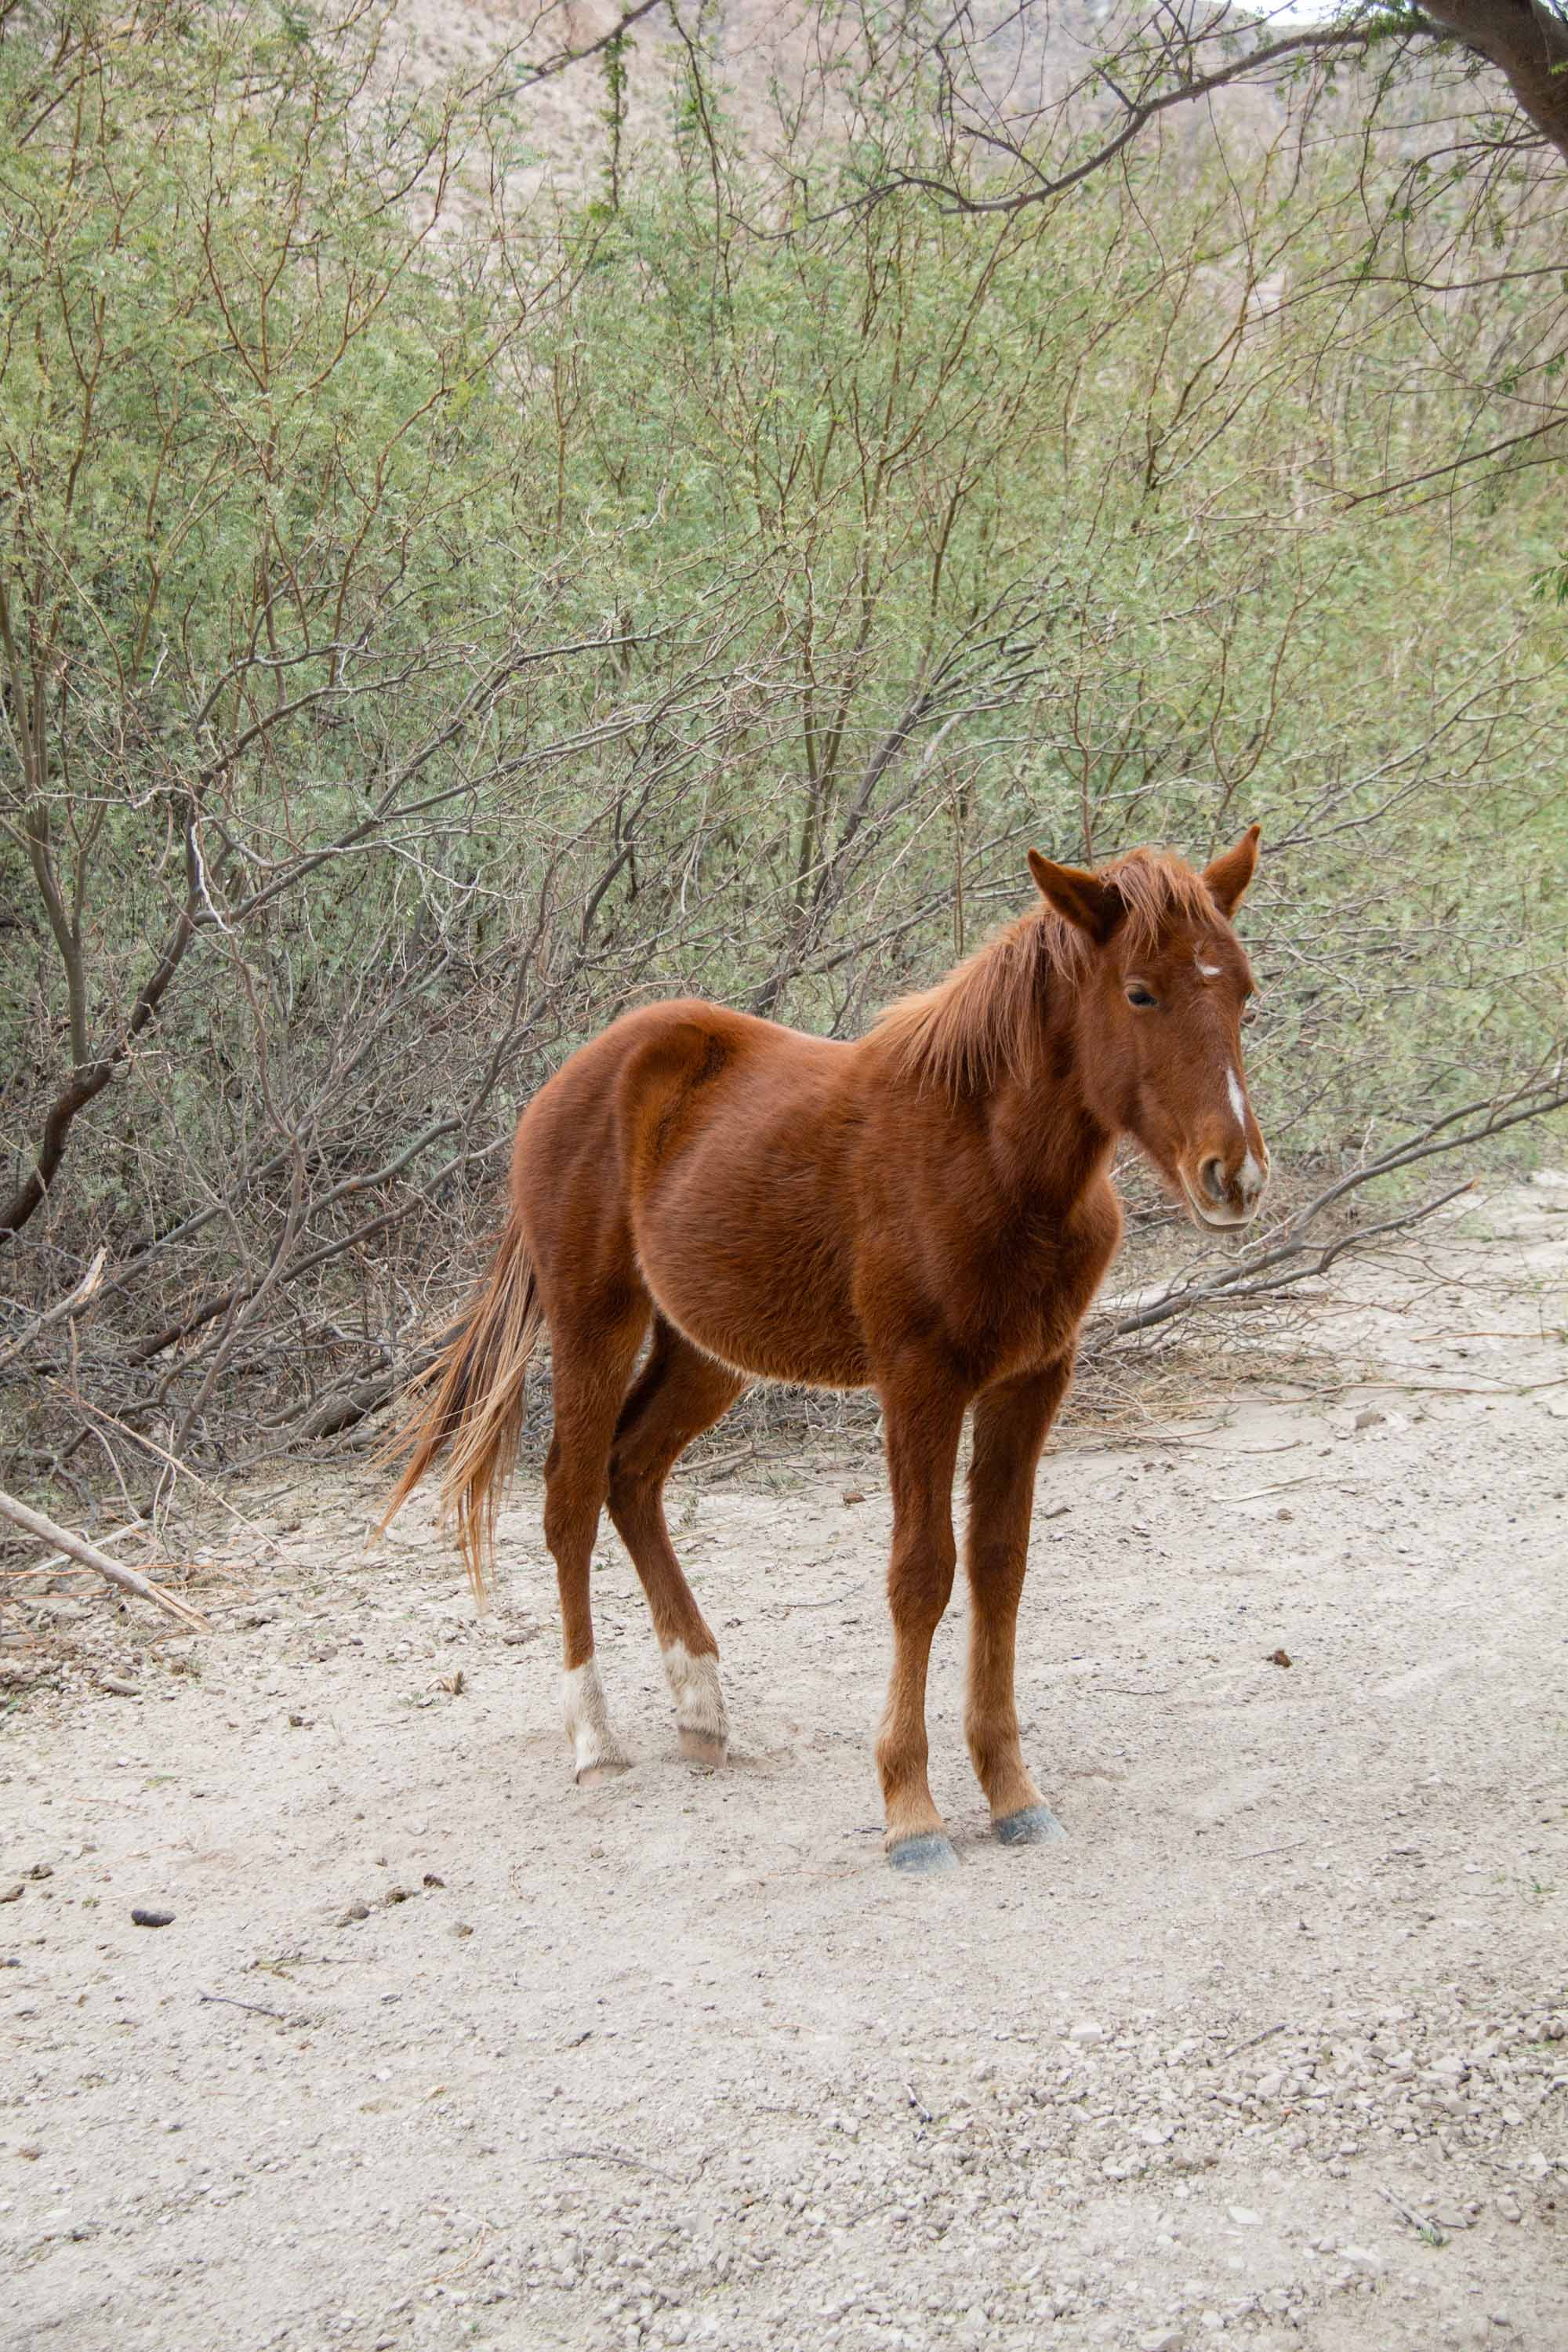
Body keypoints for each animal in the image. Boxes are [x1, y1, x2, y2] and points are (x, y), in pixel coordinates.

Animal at [382, 828, 1268, 1870]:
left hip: (707, 1349)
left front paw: (1011, 1794)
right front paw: (910, 1810)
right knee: (569, 1495)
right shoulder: (919, 1382)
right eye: (1138, 993)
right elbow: (920, 1574)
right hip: (593, 1320)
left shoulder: (1032, 1380)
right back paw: (595, 1740)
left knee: (630, 1474)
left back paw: (701, 1707)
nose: (1233, 1176)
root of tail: (572, 1076)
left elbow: (998, 1567)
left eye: (1242, 990)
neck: (992, 1160)